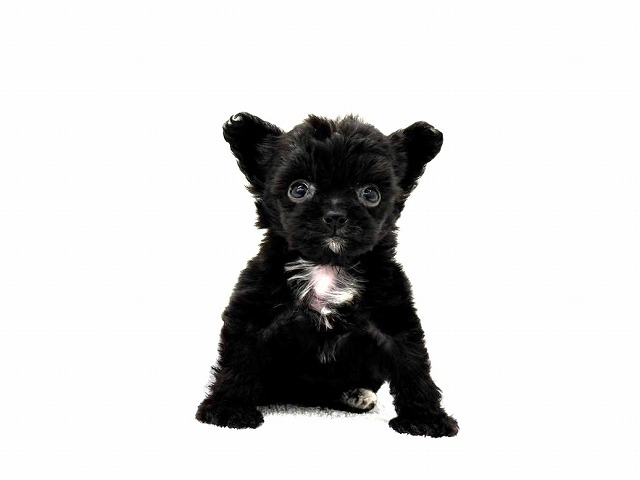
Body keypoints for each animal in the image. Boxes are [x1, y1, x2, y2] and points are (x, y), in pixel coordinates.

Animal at [195, 112, 458, 437]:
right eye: (299, 189)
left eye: (370, 194)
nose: (335, 215)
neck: (327, 265)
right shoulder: (253, 313)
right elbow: (238, 360)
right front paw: (228, 408)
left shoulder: (393, 318)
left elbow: (413, 363)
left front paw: (425, 418)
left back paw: (355, 394)